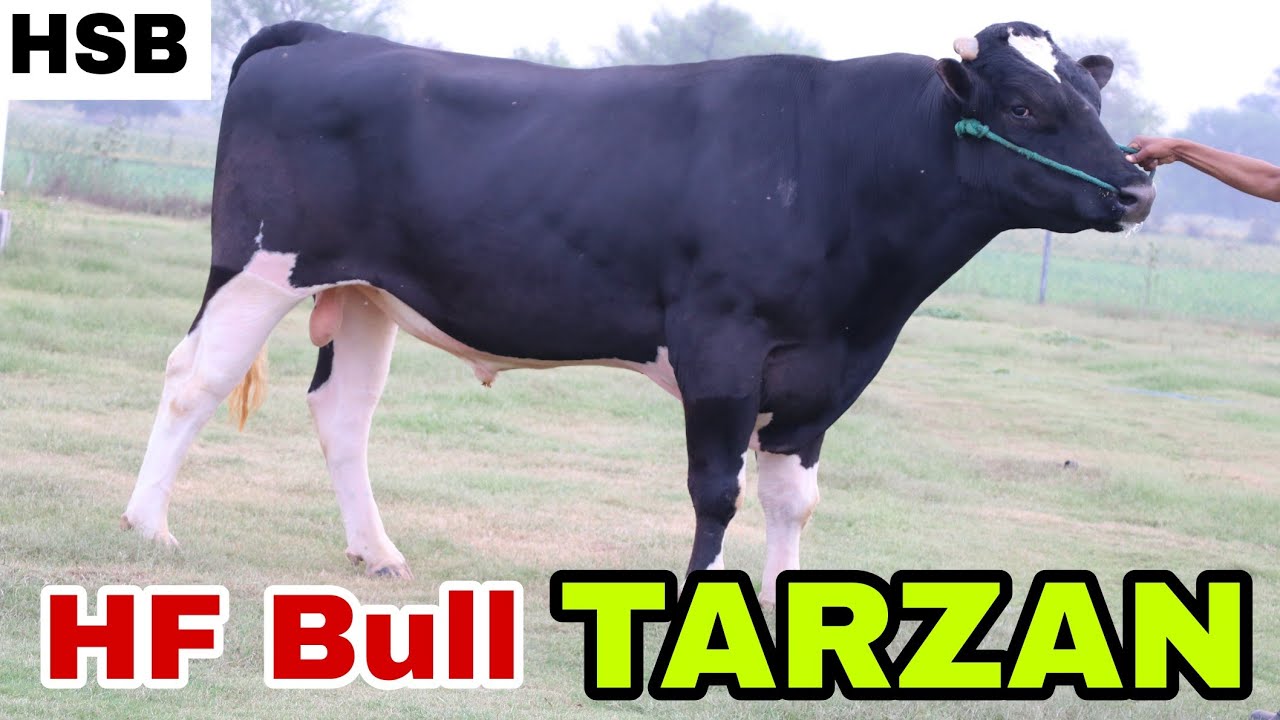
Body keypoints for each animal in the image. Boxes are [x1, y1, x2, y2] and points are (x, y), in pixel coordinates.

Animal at [121, 20, 1154, 603]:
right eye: (1023, 108)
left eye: (1092, 96)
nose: (1138, 188)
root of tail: (327, 38)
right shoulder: (722, 341)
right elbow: (716, 490)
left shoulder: (827, 370)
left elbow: (792, 500)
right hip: (259, 267)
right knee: (193, 381)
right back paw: (149, 526)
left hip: (364, 290)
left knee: (343, 413)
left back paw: (376, 553)